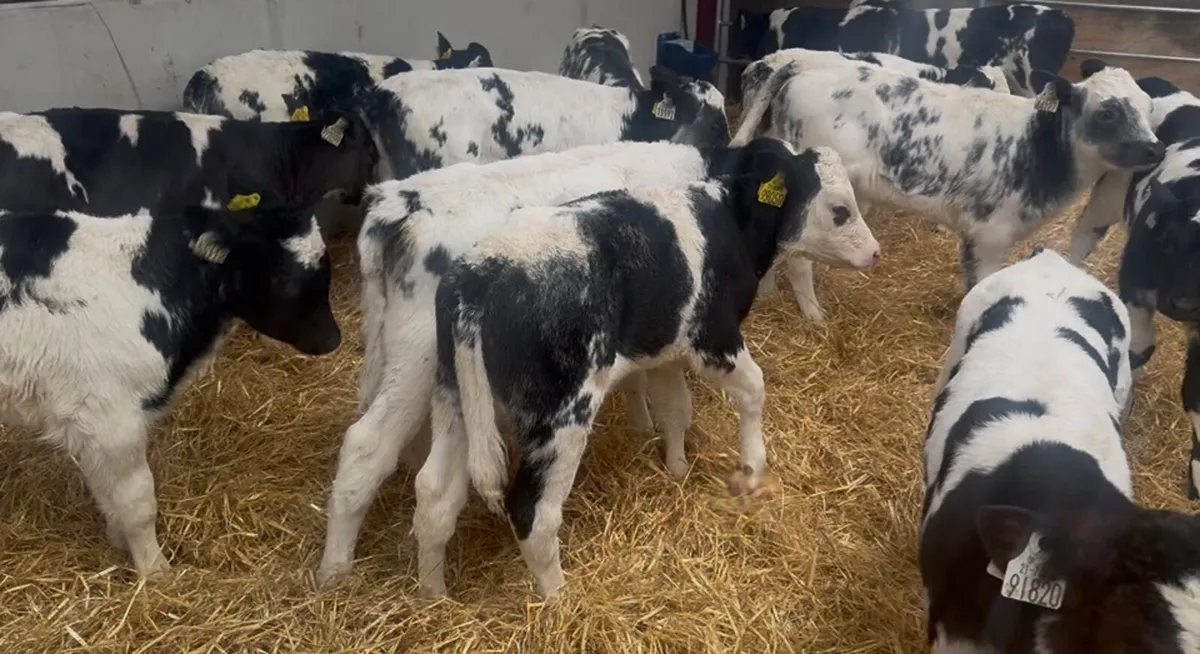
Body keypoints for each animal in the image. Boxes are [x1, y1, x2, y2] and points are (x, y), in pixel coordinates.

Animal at [0, 182, 341, 578]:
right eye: (283, 278)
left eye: (325, 270)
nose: (333, 339)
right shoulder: (111, 419)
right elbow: (138, 503)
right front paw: (154, 570)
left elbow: (109, 494)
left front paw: (120, 542)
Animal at [314, 137, 877, 587]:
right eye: (840, 209)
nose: (874, 253)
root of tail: (394, 203)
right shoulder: (705, 334)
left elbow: (665, 399)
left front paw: (658, 443)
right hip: (432, 371)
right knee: (368, 448)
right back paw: (334, 573)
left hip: (452, 392)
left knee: (433, 488)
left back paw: (429, 593)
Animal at [731, 60, 1163, 322]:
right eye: (1107, 112)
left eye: (1148, 107)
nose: (1155, 149)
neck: (1035, 147)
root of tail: (807, 65)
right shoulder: (989, 235)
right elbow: (980, 283)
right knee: (799, 259)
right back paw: (813, 314)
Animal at [1069, 61, 1200, 499]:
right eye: (1170, 240)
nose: (1183, 304)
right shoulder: (1135, 283)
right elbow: (1140, 347)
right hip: (1108, 196)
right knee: (1082, 236)